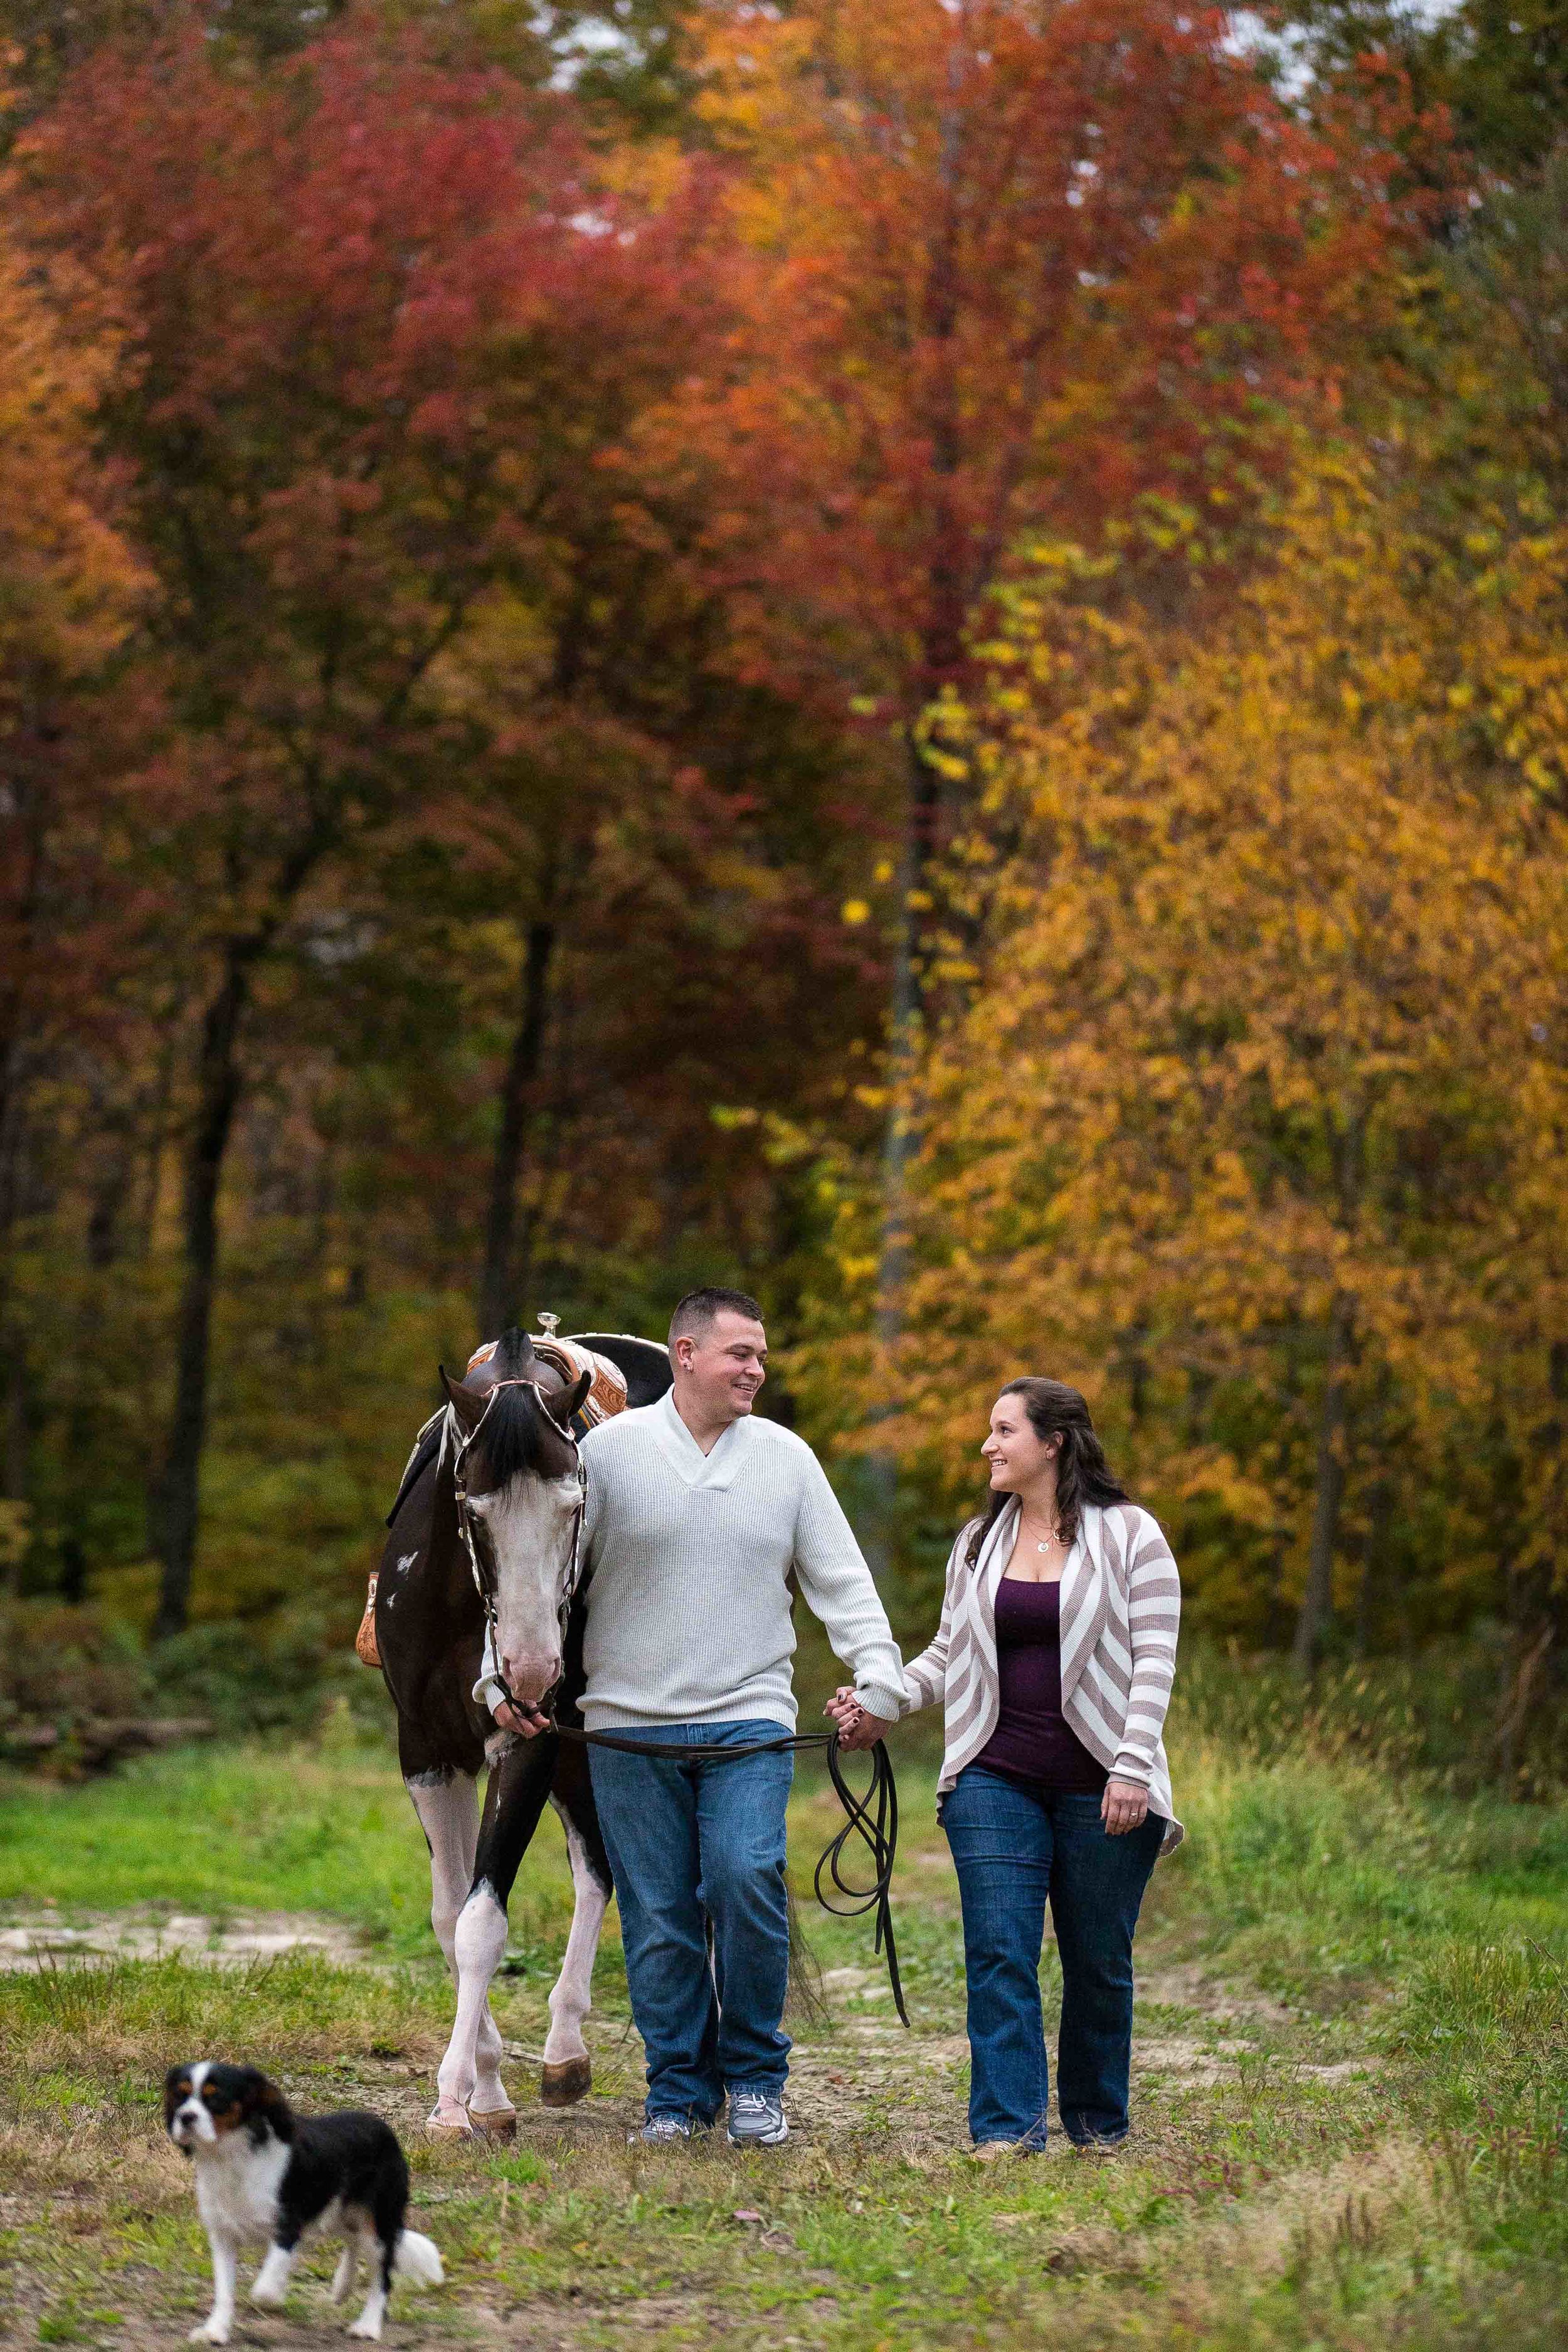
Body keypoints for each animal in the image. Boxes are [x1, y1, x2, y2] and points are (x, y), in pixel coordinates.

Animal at [164, 2060, 444, 2333]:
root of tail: (384, 2128)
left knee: (382, 2275)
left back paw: (368, 2326)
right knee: (353, 2241)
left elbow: (263, 2290)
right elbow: (224, 2290)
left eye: (216, 2097)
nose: (186, 2117)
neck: (231, 2156)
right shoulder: (223, 2235)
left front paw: (275, 2294)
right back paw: (343, 2286)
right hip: (337, 2214)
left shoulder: (288, 2225)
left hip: (378, 2222)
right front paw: (214, 2331)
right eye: (180, 2095)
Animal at [381, 1327, 677, 2136]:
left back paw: (568, 2047)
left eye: (576, 1506)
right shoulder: (425, 1753)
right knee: (598, 1867)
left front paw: (458, 2098)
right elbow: (450, 1918)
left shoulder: (530, 1743)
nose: (533, 1667)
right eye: (473, 1509)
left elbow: (483, 1921)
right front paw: (483, 2088)